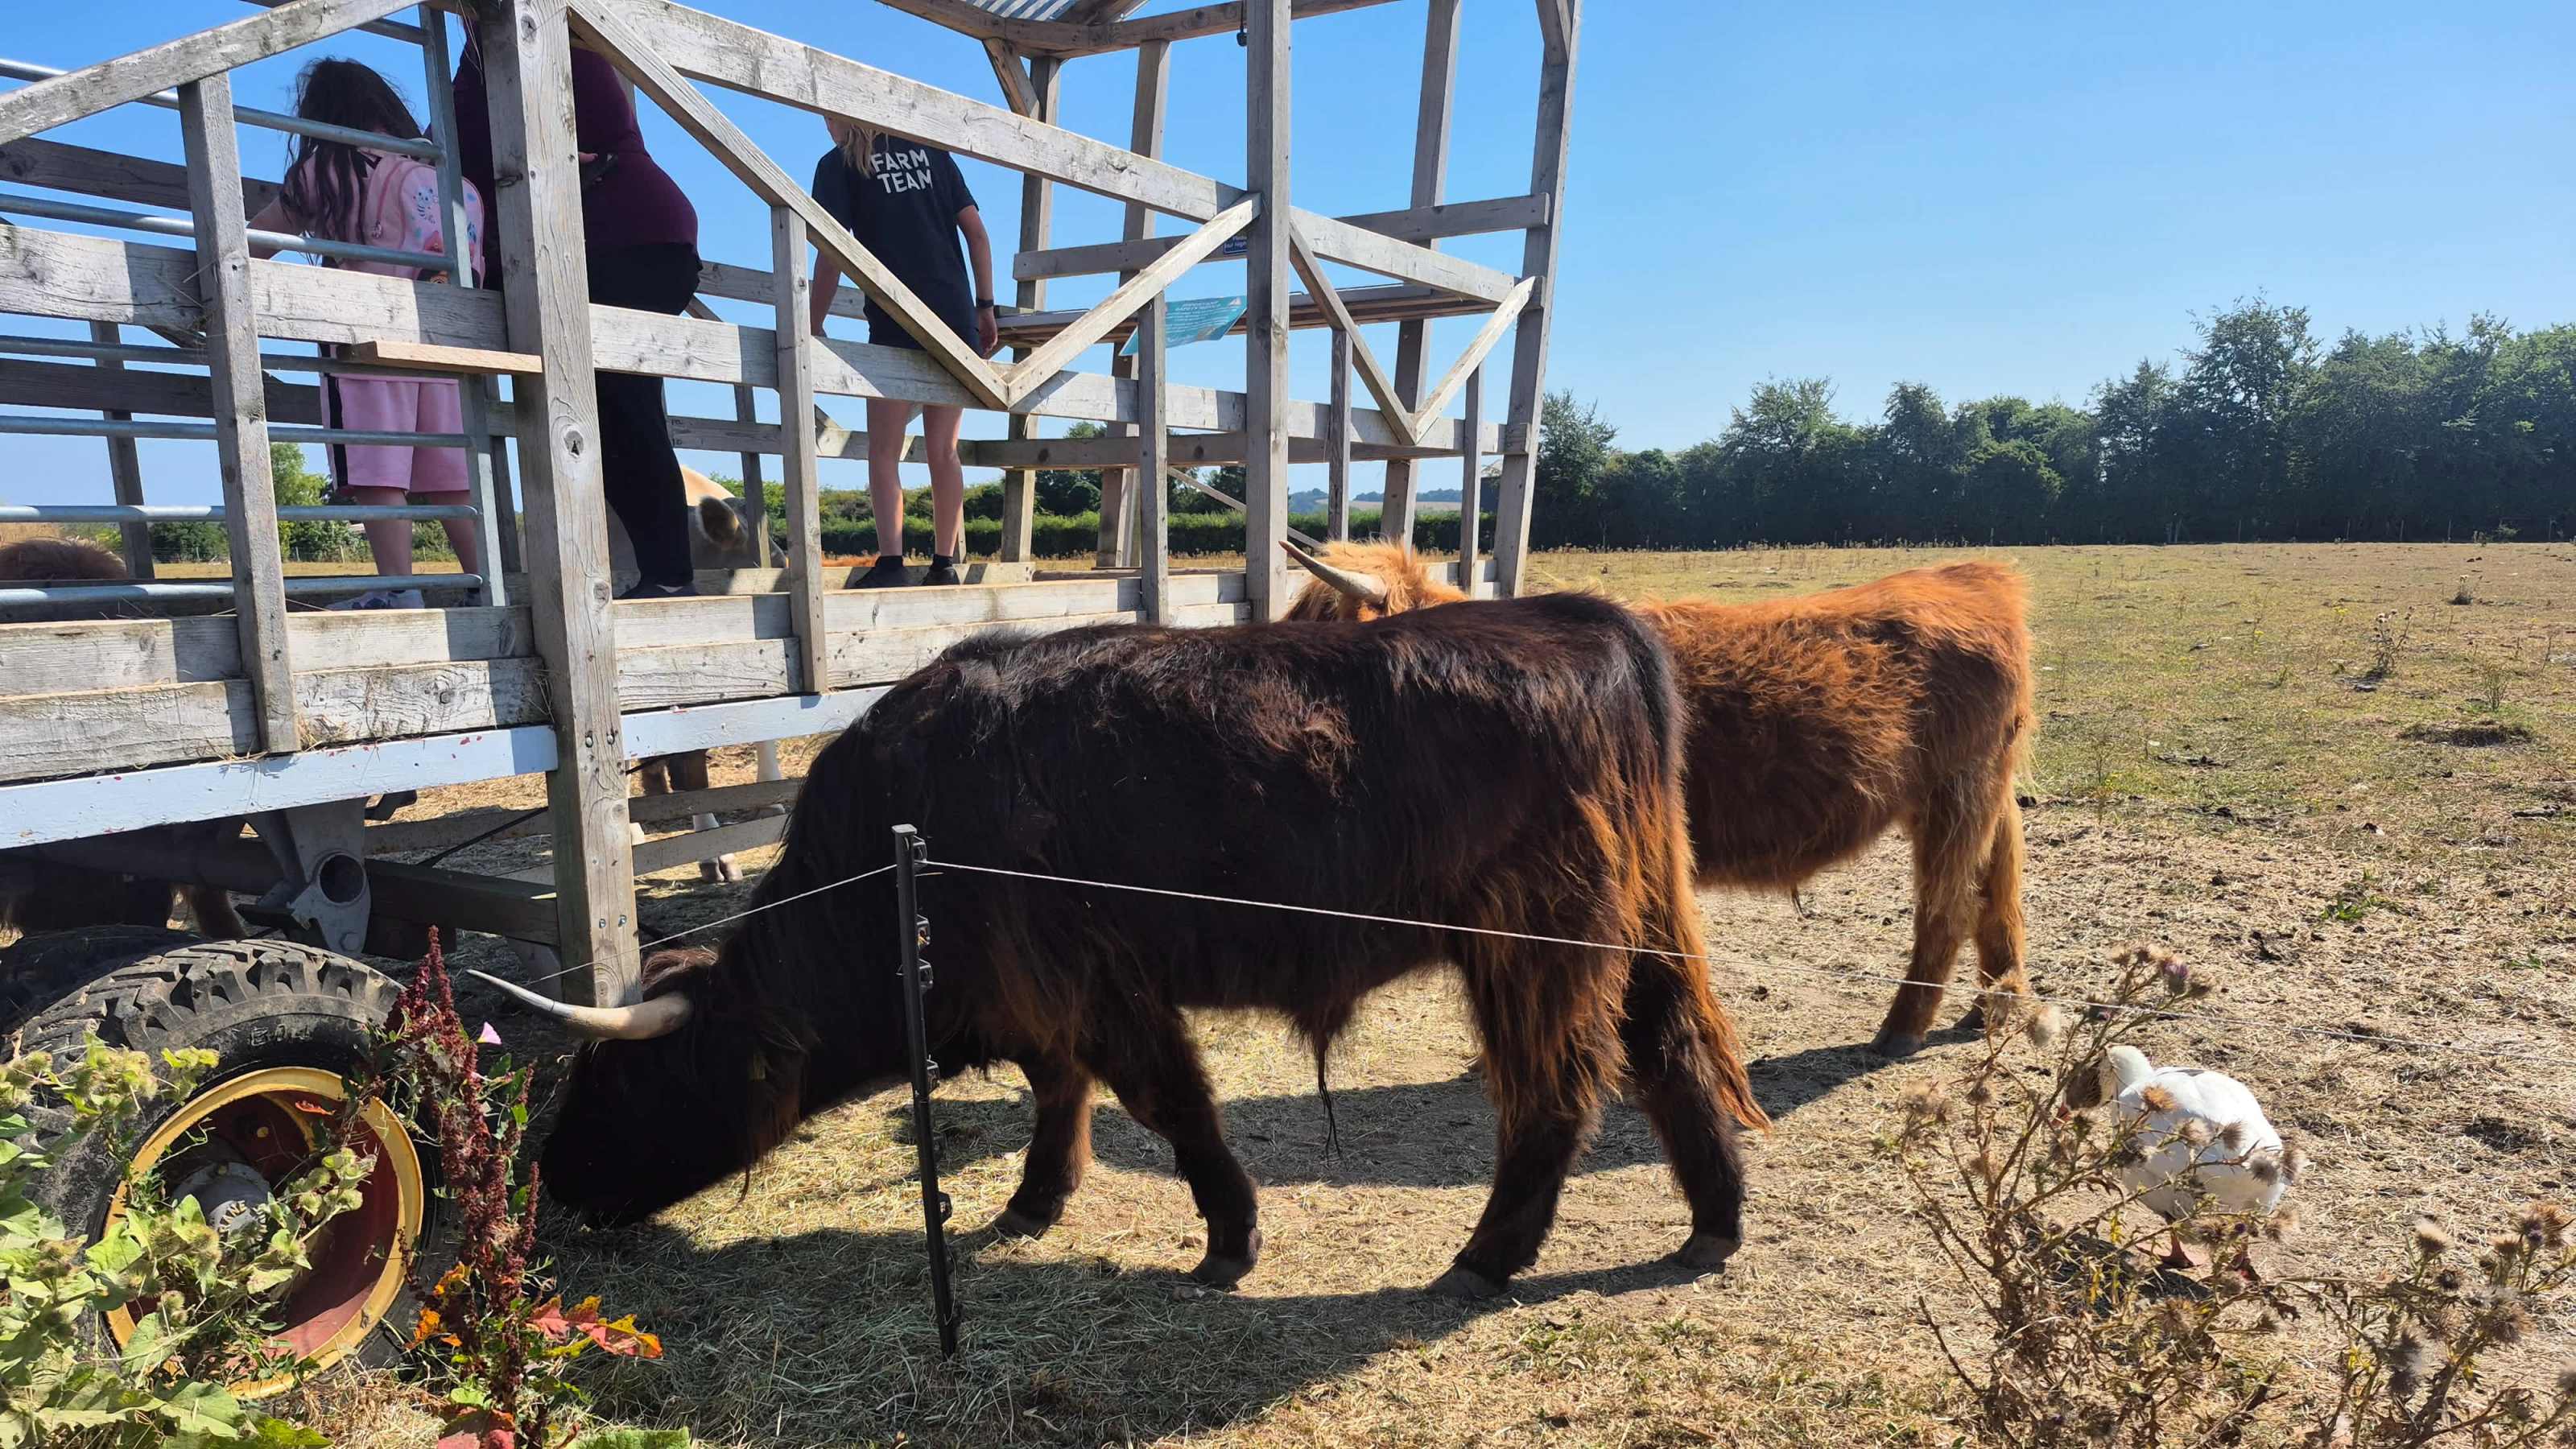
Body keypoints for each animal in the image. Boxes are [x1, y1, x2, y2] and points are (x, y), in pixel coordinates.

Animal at [476, 593, 1769, 1298]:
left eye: (625, 1077)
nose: (551, 1181)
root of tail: (1575, 616)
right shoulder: (1040, 994)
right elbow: (1061, 1093)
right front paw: (1033, 1203)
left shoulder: (1094, 982)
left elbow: (1166, 1101)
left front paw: (1229, 1236)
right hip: (1639, 927)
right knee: (1670, 1056)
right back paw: (1713, 1222)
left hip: (1532, 942)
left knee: (1557, 1092)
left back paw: (1490, 1253)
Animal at [1283, 541, 2035, 1058]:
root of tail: (1974, 577)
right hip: (1983, 792)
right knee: (1998, 888)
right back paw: (1995, 1004)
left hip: (1954, 795)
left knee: (1947, 906)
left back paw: (1901, 1030)